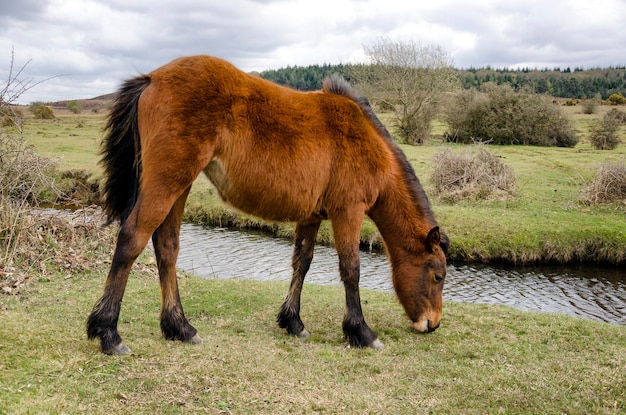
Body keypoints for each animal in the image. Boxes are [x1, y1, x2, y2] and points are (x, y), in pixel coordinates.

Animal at [89, 54, 448, 354]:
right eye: (438, 276)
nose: (432, 324)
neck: (368, 144)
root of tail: (152, 78)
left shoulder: (313, 215)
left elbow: (302, 262)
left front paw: (293, 322)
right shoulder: (349, 211)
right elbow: (351, 269)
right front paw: (361, 332)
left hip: (180, 186)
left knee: (167, 247)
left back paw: (180, 327)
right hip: (167, 182)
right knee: (132, 239)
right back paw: (109, 333)